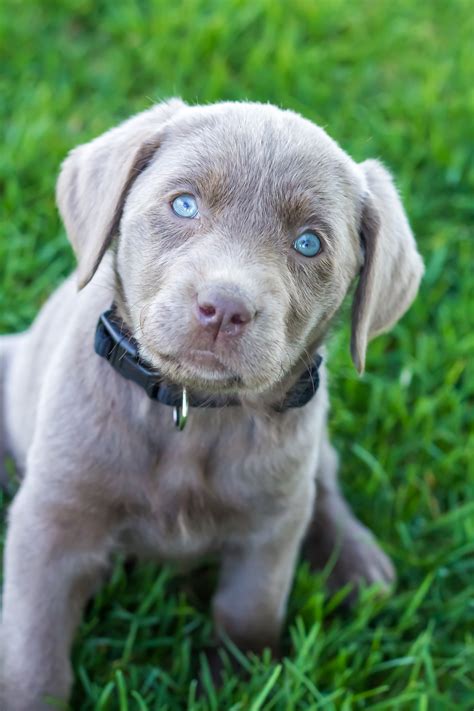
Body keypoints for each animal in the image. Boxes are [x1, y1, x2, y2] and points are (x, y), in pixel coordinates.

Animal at [0, 98, 422, 708]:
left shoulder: (268, 534)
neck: (189, 409)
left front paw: (237, 683)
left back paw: (357, 563)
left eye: (309, 242)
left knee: (324, 481)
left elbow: (249, 613)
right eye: (184, 204)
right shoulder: (51, 523)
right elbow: (33, 649)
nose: (224, 308)